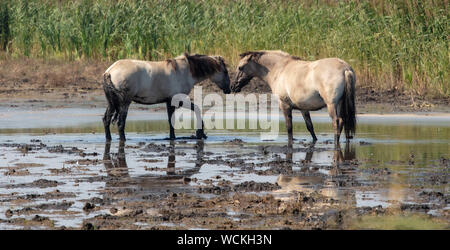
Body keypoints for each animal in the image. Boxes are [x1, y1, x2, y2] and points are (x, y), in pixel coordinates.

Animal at [103, 53, 232, 142]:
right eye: (225, 72)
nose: (229, 89)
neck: (185, 71)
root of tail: (109, 72)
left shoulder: (170, 101)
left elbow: (172, 120)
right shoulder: (176, 100)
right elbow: (193, 111)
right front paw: (200, 132)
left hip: (111, 103)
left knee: (106, 120)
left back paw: (109, 139)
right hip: (125, 102)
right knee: (120, 123)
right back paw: (123, 140)